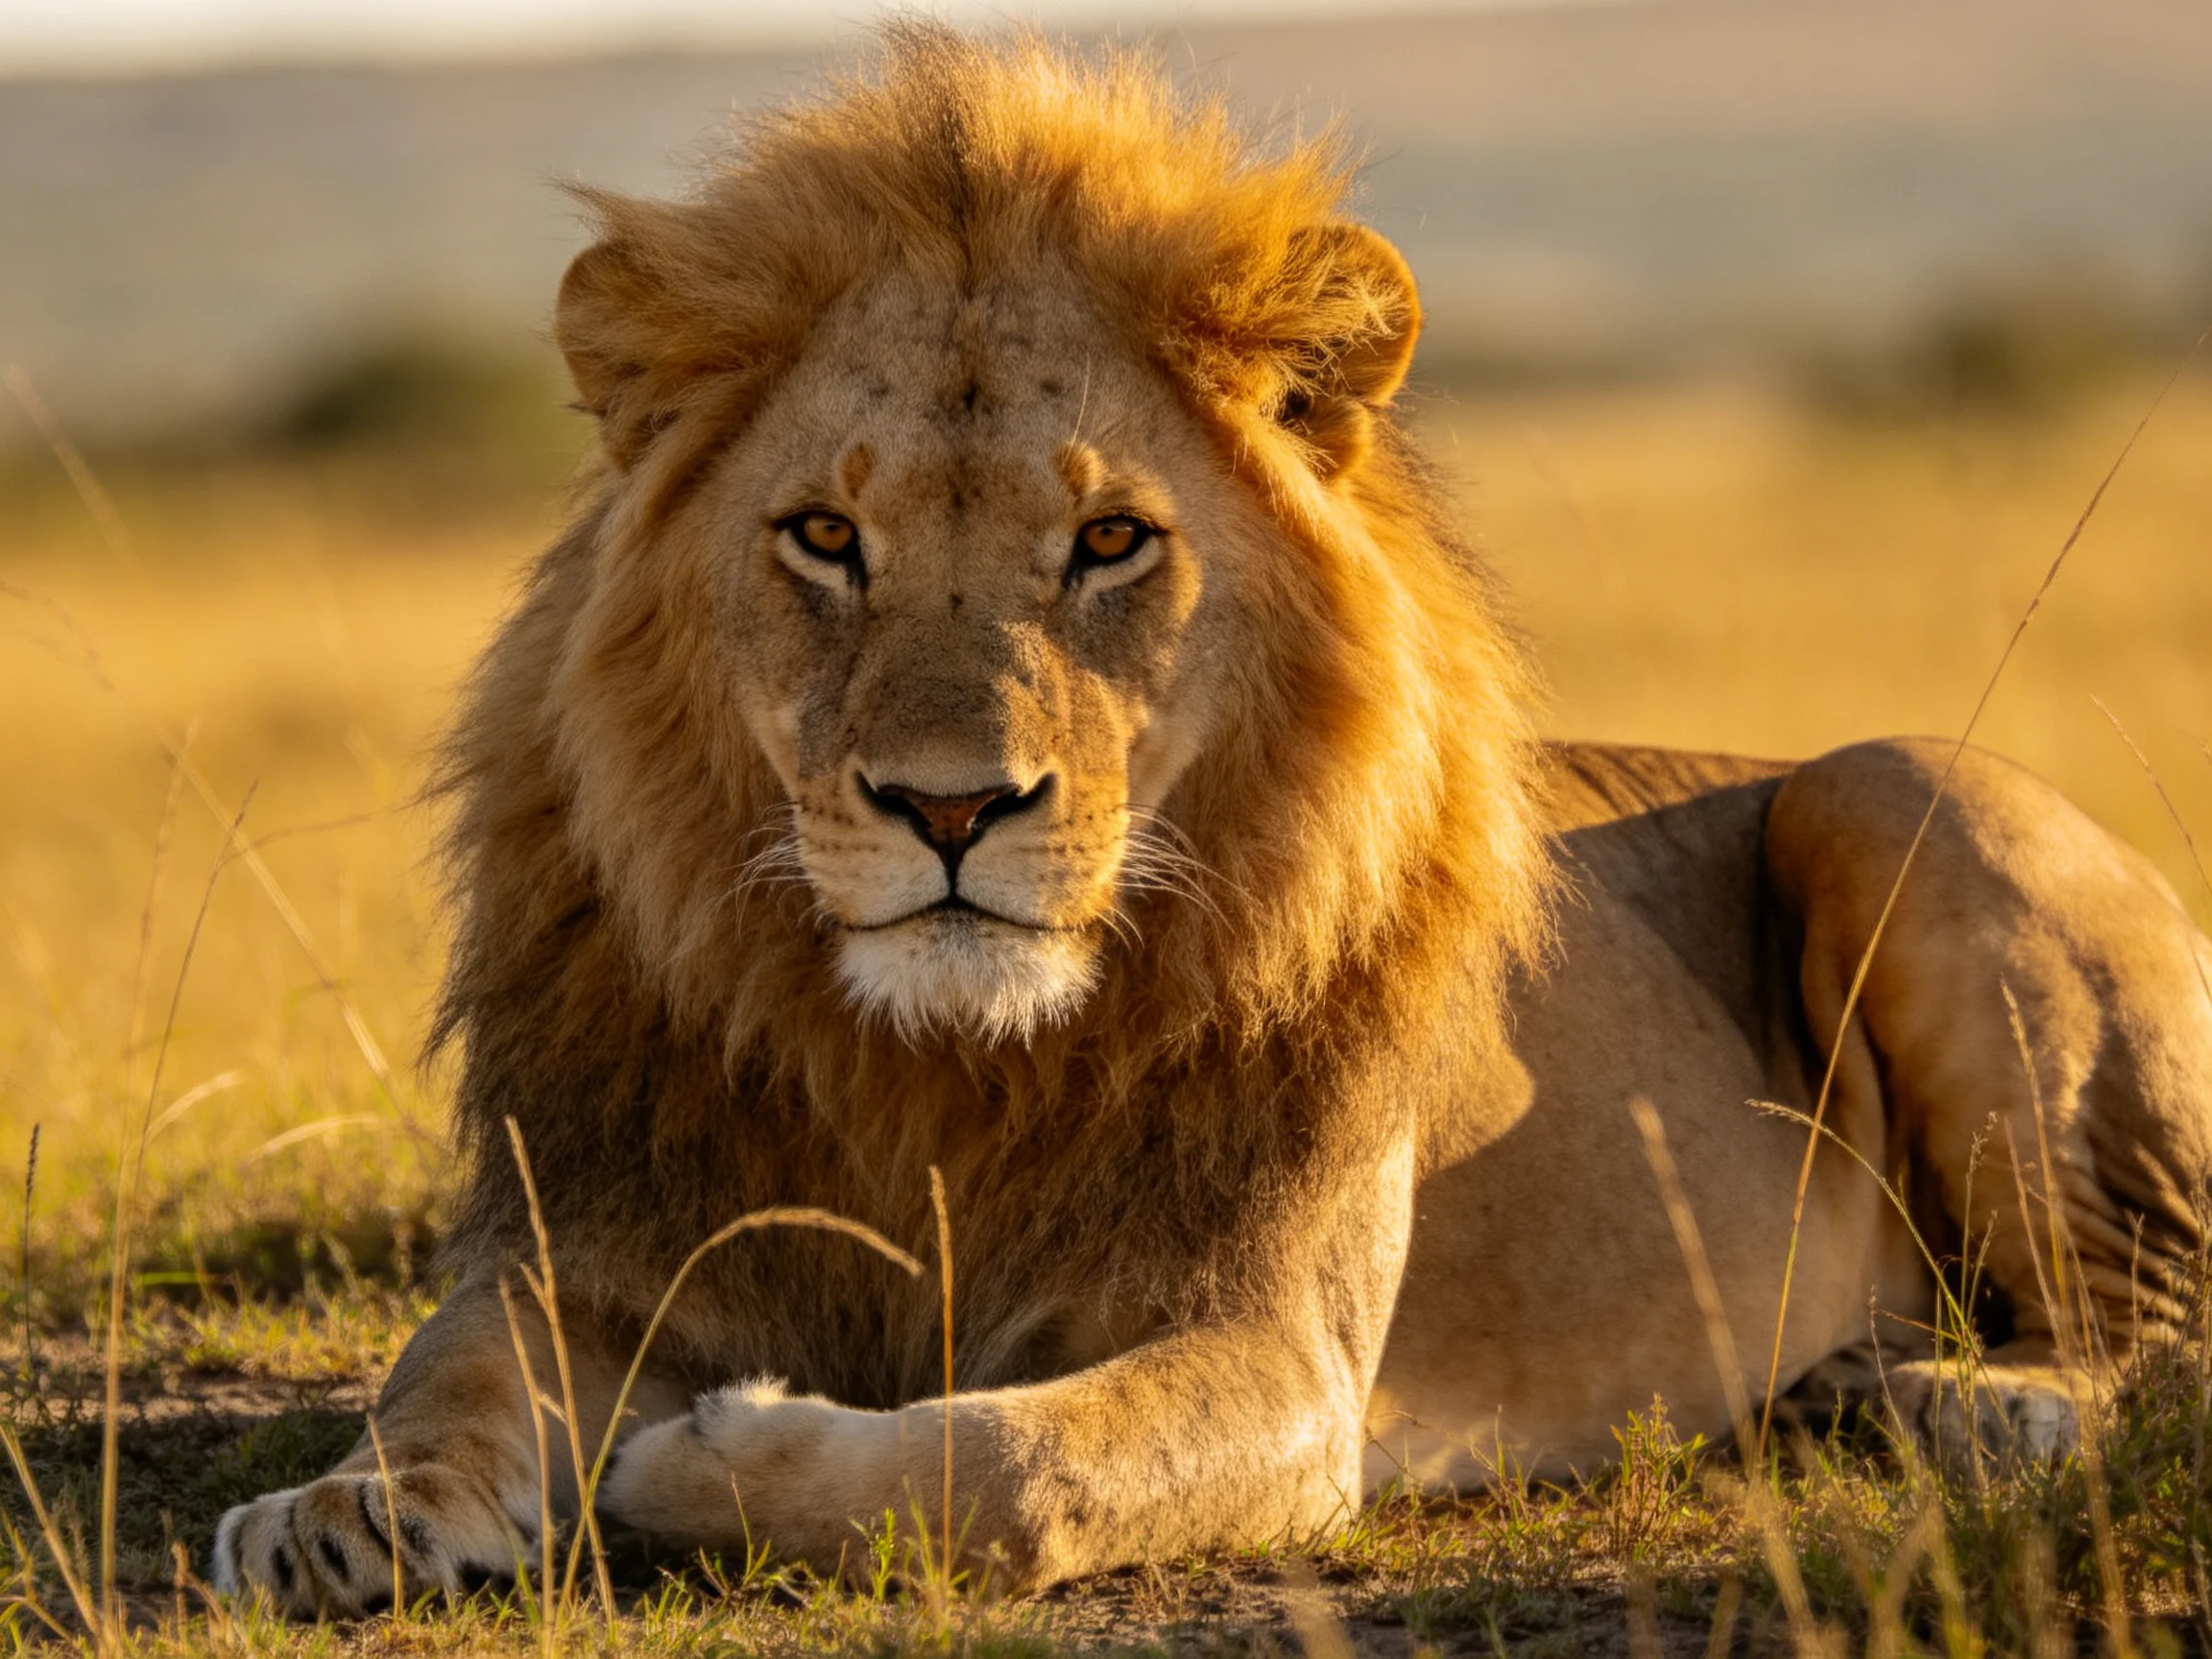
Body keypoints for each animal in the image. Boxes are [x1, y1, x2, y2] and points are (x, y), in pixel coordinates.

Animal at [213, 26, 2212, 1613]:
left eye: (1108, 539)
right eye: (823, 535)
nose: (949, 805)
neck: (936, 1074)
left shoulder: (1282, 1354)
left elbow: (1005, 1467)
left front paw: (700, 1460)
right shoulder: (592, 1233)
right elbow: (442, 1372)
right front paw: (340, 1510)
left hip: (1895, 788)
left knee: (2145, 1321)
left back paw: (1973, 1403)